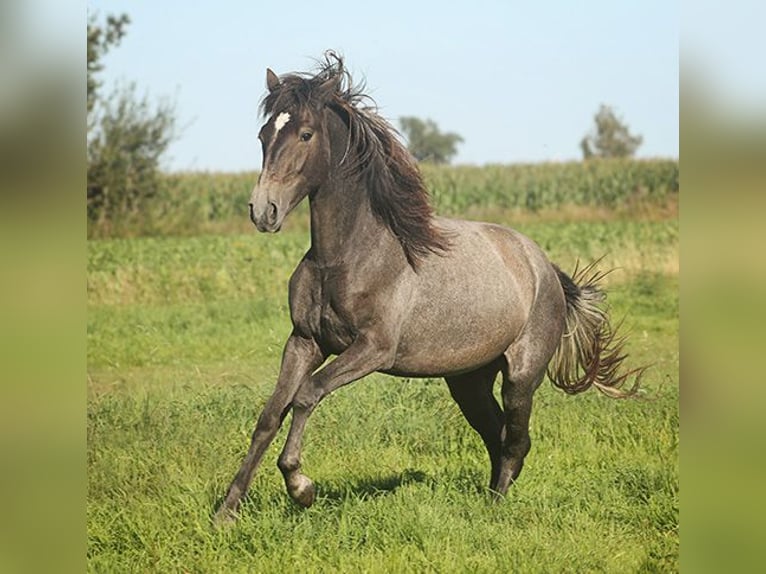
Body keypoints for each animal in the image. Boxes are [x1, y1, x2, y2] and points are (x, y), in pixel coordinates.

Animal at [215, 52, 641, 522]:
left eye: (305, 134)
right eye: (263, 134)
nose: (263, 211)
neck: (345, 257)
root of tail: (545, 269)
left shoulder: (372, 349)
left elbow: (307, 395)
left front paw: (300, 486)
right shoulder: (304, 341)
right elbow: (271, 415)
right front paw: (227, 511)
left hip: (521, 377)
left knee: (516, 440)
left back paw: (495, 509)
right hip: (468, 382)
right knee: (496, 435)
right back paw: (487, 499)